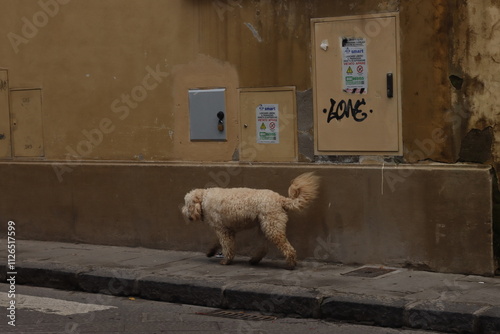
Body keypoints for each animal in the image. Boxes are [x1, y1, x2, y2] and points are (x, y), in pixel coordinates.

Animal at [182, 172, 318, 268]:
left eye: (186, 204)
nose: (182, 211)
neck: (203, 199)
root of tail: (280, 199)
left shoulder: (223, 230)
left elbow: (227, 246)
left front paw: (226, 260)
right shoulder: (224, 229)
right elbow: (217, 242)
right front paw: (210, 252)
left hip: (272, 227)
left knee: (286, 247)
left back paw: (291, 263)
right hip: (264, 227)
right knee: (264, 248)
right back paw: (254, 260)